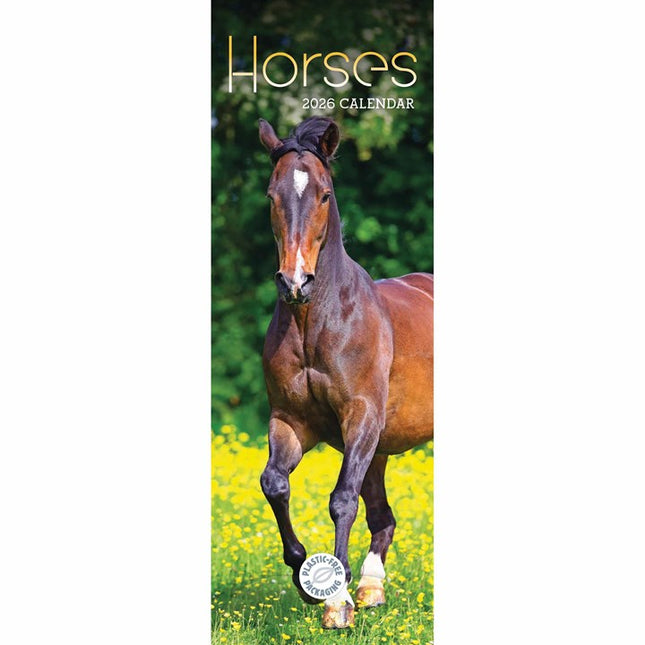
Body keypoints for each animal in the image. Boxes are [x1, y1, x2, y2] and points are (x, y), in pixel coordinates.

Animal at [258, 116, 433, 629]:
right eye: (271, 195)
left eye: (324, 195)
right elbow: (275, 483)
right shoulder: (292, 422)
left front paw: (337, 604)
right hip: (379, 447)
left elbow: (341, 499)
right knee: (383, 517)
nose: (295, 282)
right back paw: (373, 589)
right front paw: (307, 579)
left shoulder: (361, 416)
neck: (317, 321)